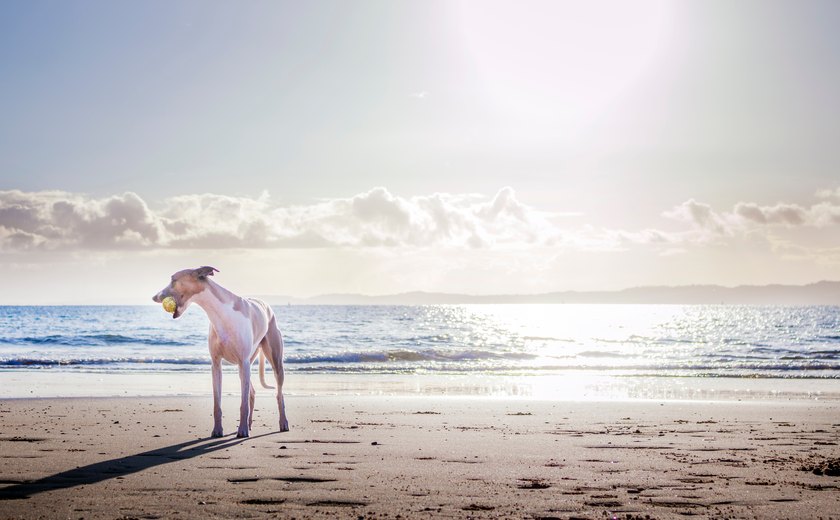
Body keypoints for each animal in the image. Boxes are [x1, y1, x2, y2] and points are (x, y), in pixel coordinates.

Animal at [153, 266, 290, 436]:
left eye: (173, 280)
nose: (154, 297)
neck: (220, 314)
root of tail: (265, 305)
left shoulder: (243, 361)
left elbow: (243, 404)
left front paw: (242, 430)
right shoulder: (216, 364)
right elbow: (217, 404)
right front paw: (217, 430)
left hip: (273, 360)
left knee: (279, 394)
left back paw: (282, 422)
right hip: (245, 367)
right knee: (251, 392)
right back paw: (249, 423)